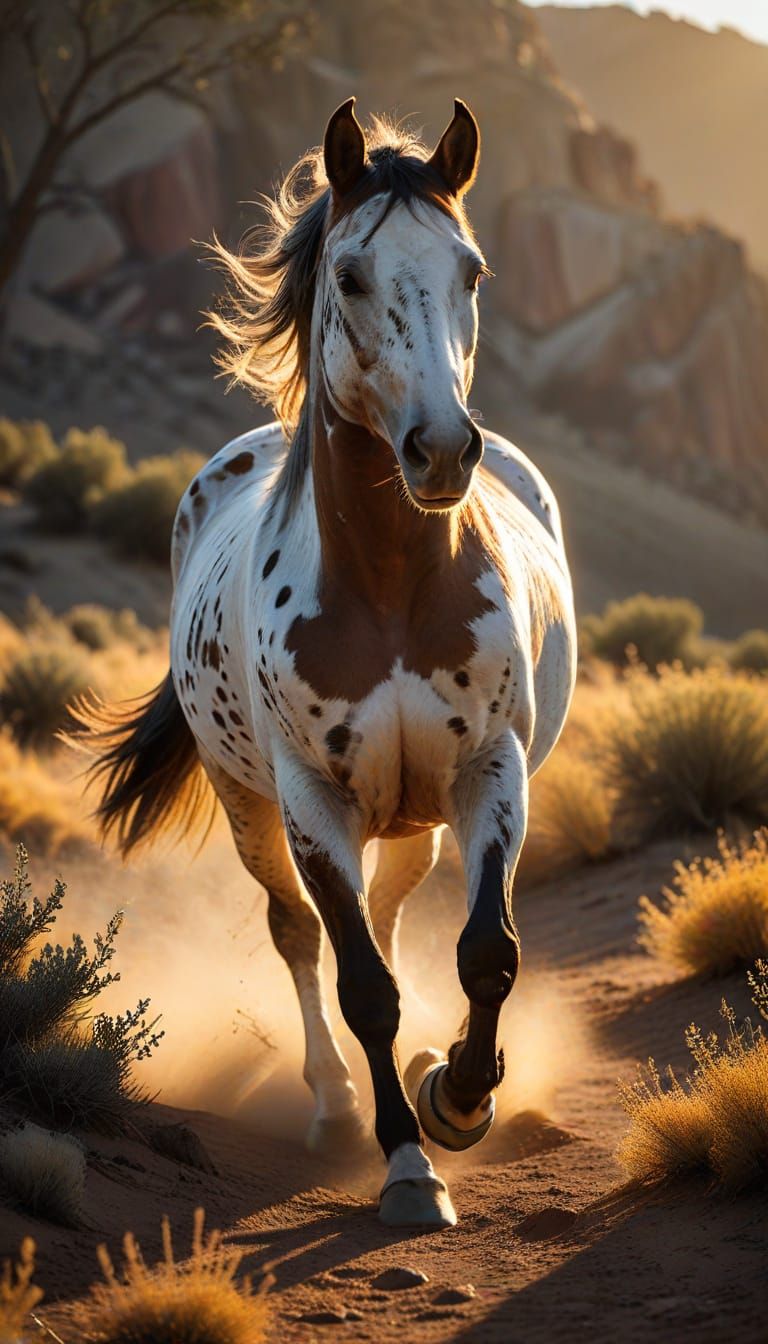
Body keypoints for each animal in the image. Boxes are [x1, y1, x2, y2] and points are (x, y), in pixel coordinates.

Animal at [83, 98, 576, 1229]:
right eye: (350, 274)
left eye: (472, 270)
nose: (442, 451)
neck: (389, 587)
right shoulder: (313, 801)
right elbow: (359, 986)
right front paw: (405, 1163)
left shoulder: (491, 770)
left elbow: (487, 953)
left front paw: (460, 1097)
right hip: (254, 808)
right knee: (300, 936)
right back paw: (334, 1105)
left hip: (411, 816)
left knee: (389, 916)